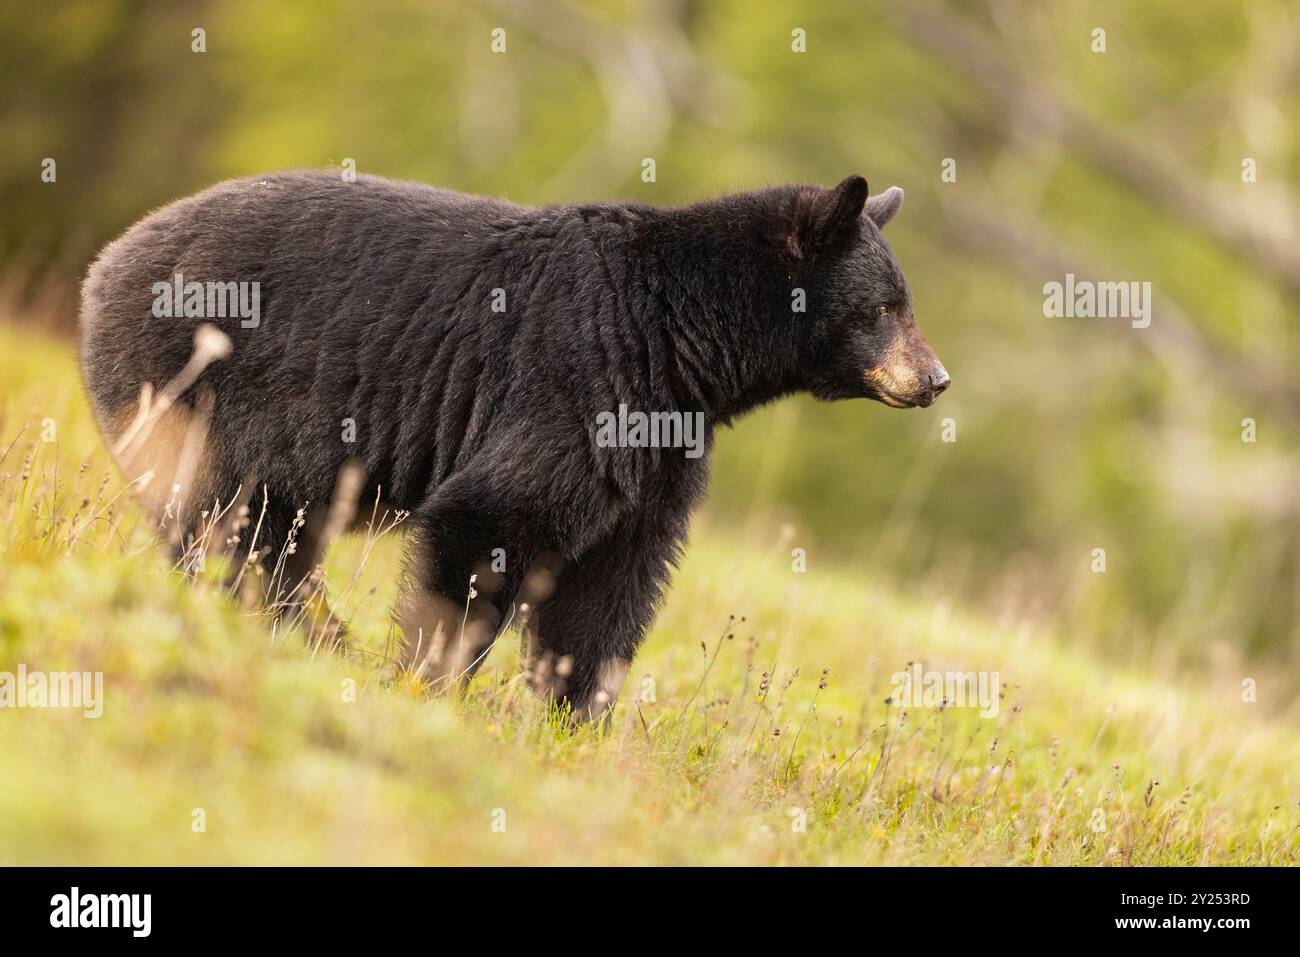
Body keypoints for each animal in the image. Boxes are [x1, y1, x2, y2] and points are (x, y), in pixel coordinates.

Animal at [79, 170, 949, 719]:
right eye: (884, 307)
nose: (935, 378)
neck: (681, 341)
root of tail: (108, 259)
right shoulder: (579, 378)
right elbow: (492, 516)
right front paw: (432, 675)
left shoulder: (659, 445)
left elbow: (611, 581)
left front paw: (575, 714)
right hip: (200, 383)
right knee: (222, 518)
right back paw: (299, 627)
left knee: (262, 532)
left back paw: (306, 629)